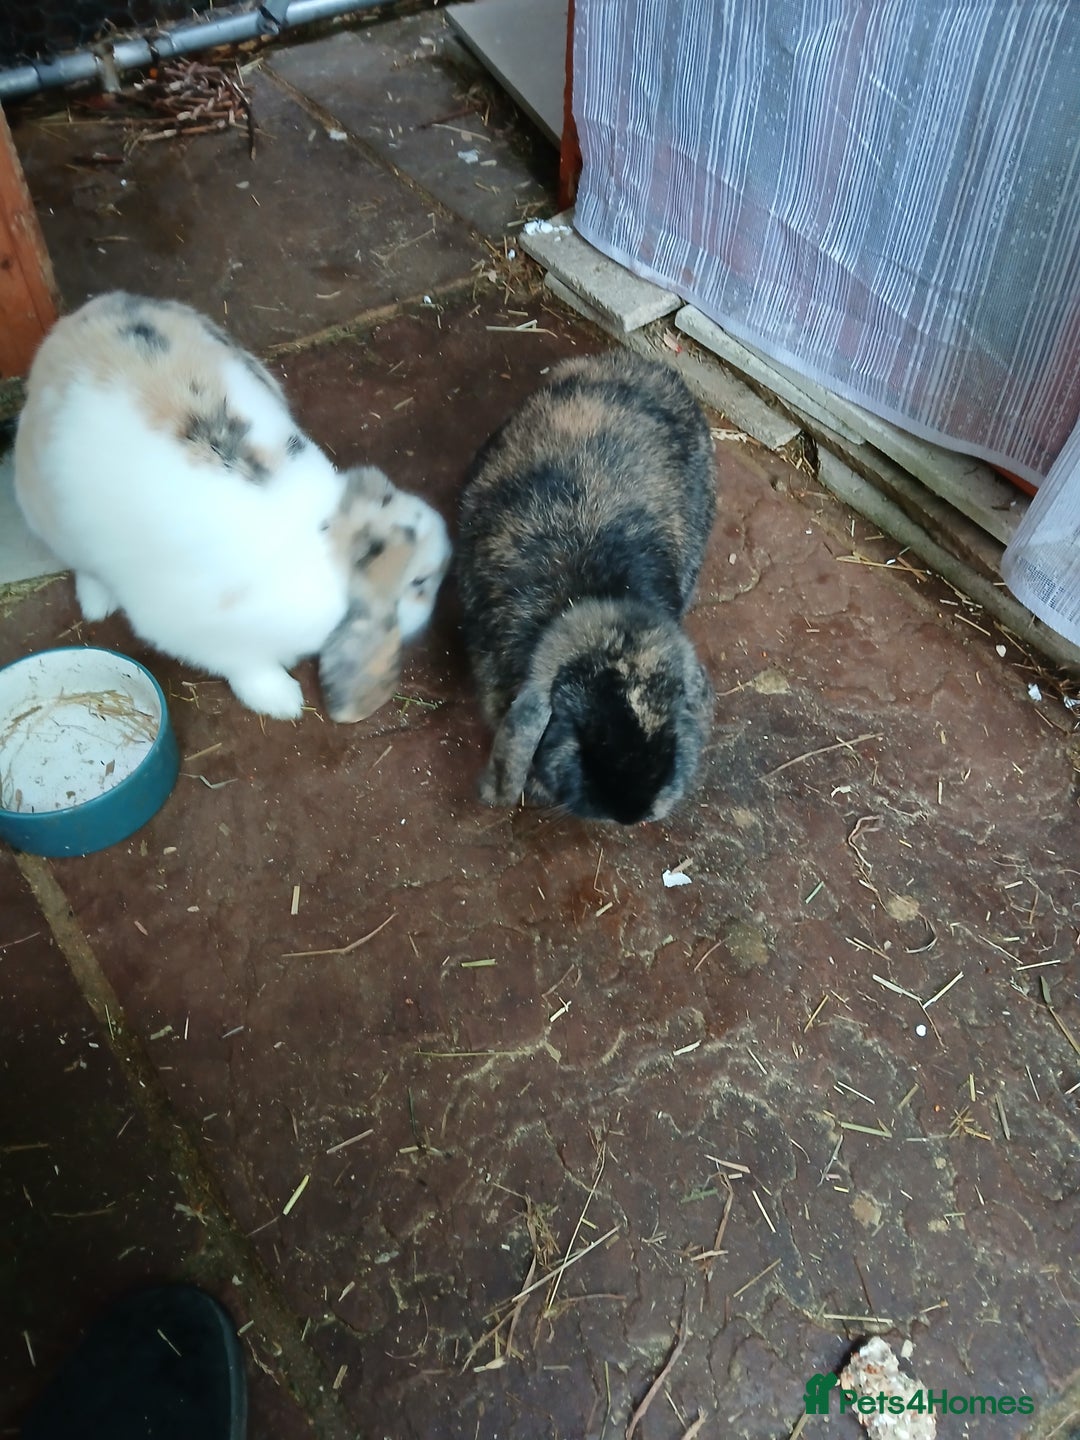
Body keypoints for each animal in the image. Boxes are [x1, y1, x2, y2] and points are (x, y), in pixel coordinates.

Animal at [14, 292, 449, 722]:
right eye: (419, 582)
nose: (428, 616)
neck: (331, 537)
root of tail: (82, 317)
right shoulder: (205, 636)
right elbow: (248, 667)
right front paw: (283, 701)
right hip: (52, 518)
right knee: (83, 566)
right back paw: (97, 604)